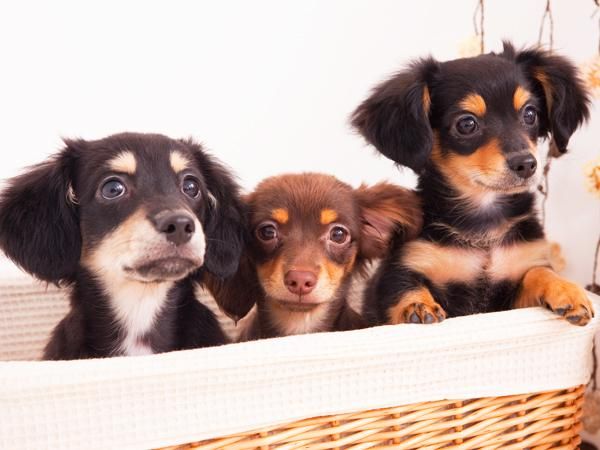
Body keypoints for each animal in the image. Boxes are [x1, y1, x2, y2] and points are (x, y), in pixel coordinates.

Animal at [351, 42, 593, 326]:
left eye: (530, 114)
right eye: (466, 124)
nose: (526, 164)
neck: (483, 230)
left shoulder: (514, 286)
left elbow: (539, 272)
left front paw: (566, 289)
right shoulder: (399, 270)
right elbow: (404, 287)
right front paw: (417, 305)